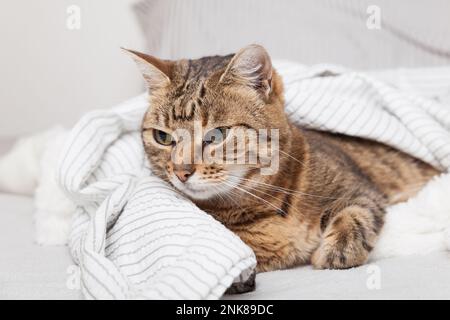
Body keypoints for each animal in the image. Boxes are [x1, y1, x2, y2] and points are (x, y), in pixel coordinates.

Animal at [124, 45, 440, 276]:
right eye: (163, 137)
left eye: (217, 135)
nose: (180, 171)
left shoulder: (362, 188)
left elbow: (357, 215)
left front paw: (337, 251)